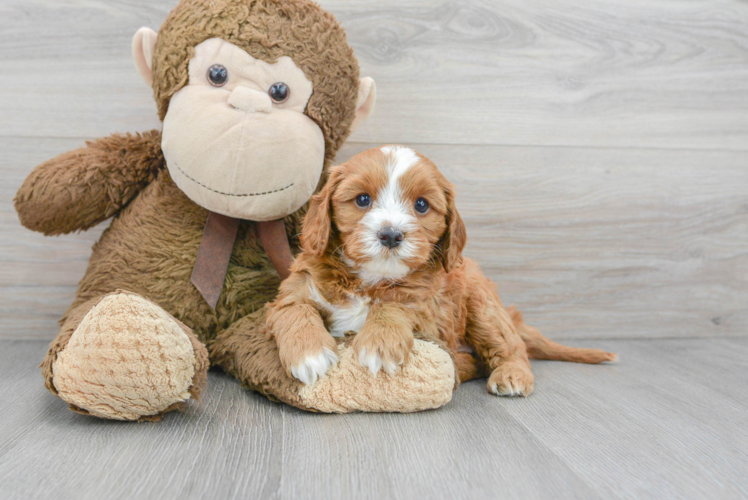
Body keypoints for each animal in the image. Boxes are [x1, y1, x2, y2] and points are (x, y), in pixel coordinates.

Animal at [266, 146, 616, 394]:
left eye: (421, 205)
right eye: (362, 199)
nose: (391, 234)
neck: (371, 279)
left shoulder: (430, 313)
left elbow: (395, 304)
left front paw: (379, 342)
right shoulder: (296, 288)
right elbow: (294, 310)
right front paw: (309, 354)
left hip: (483, 307)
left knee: (510, 348)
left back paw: (511, 374)